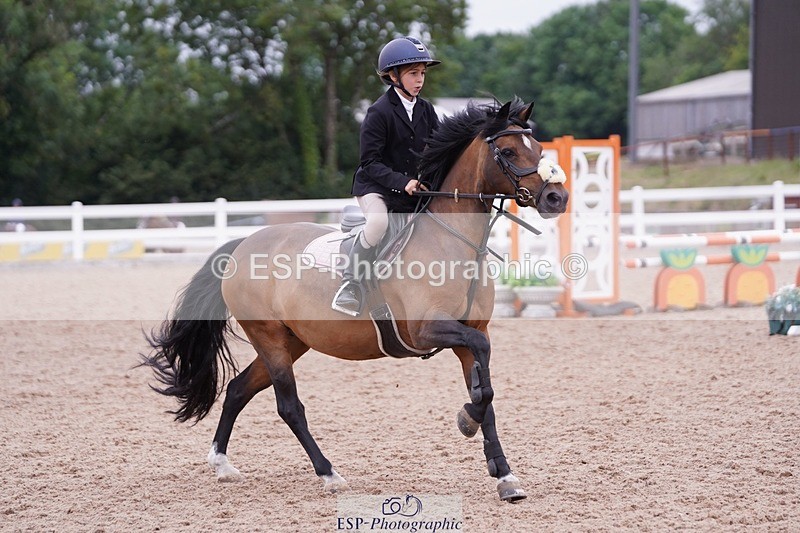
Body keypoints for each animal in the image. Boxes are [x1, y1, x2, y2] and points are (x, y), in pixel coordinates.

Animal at [142, 98, 569, 502]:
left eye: (538, 148)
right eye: (509, 152)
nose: (556, 197)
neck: (452, 241)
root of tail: (243, 243)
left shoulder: (471, 334)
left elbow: (486, 393)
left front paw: (505, 476)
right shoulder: (427, 329)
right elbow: (482, 389)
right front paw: (466, 421)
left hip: (291, 341)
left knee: (238, 389)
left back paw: (222, 464)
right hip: (270, 338)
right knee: (288, 407)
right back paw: (329, 474)